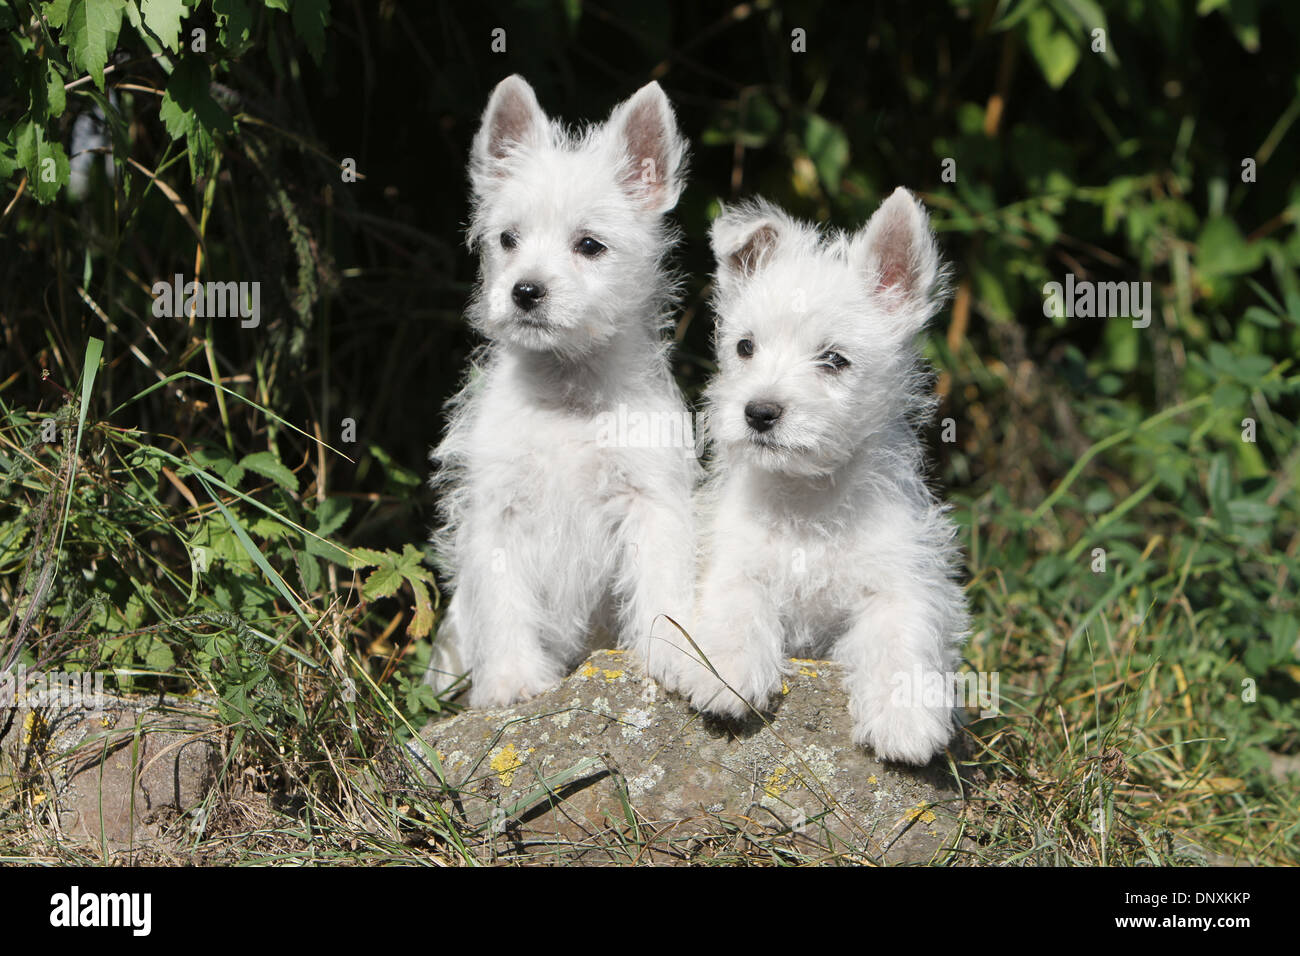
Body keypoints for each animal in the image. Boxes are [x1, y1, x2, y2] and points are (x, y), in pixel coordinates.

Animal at [421, 76, 696, 712]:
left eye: (589, 245)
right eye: (507, 239)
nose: (525, 291)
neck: (567, 390)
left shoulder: (650, 500)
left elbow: (663, 587)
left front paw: (675, 658)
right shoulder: (498, 513)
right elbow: (504, 605)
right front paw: (513, 681)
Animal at [676, 191, 972, 764]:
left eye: (834, 359)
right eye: (745, 347)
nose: (759, 412)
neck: (806, 495)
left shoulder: (901, 577)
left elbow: (901, 634)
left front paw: (905, 718)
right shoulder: (733, 557)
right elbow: (736, 603)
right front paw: (726, 673)